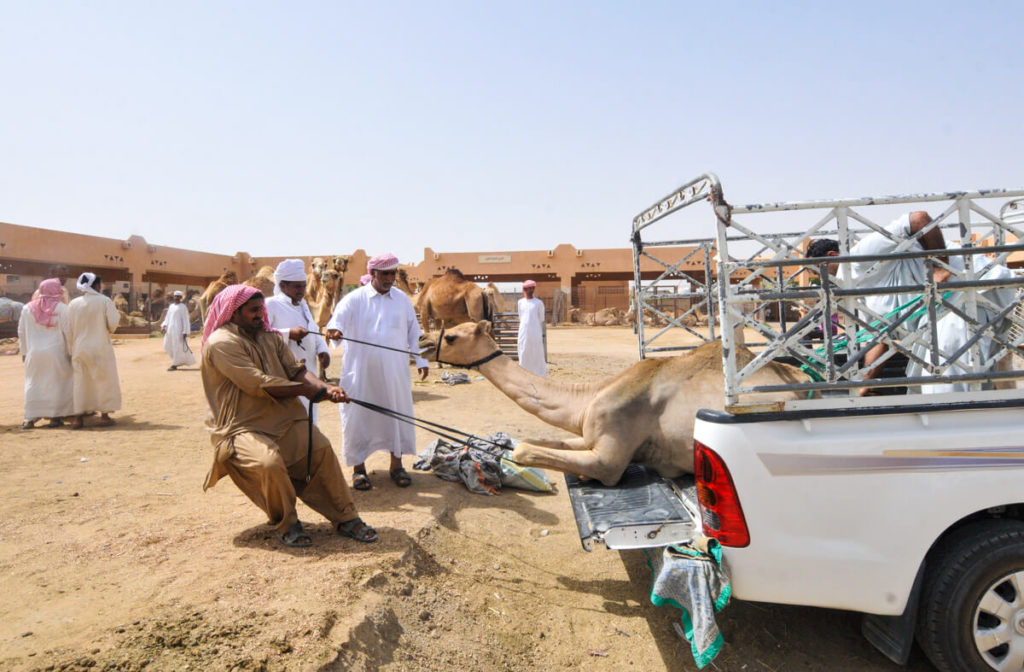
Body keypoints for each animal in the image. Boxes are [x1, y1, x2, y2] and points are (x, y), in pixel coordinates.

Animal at [419, 321, 802, 485]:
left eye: (451, 336)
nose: (421, 339)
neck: (589, 397)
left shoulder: (611, 457)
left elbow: (525, 450)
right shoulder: (589, 436)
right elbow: (533, 441)